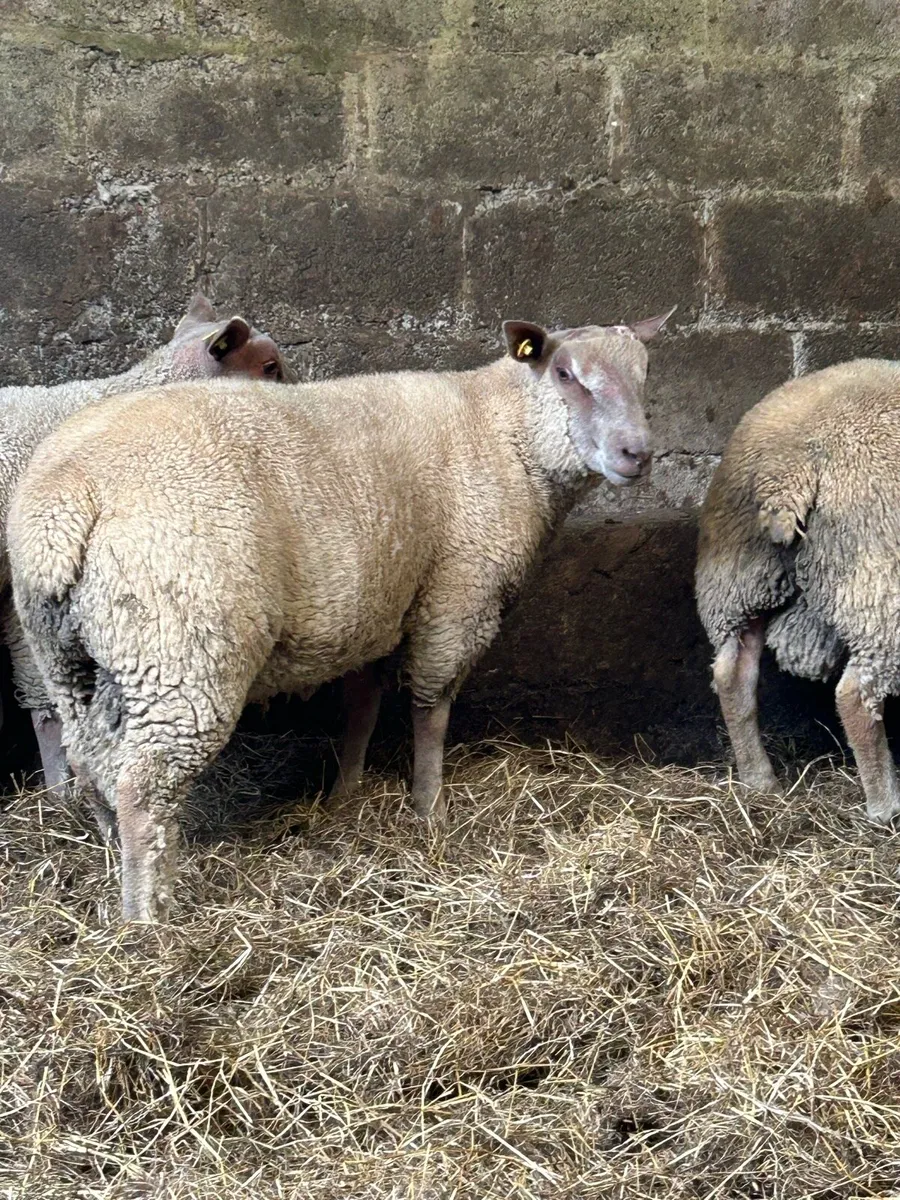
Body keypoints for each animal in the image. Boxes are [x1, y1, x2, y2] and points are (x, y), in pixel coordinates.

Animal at [696, 357, 900, 825]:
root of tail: (785, 469)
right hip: (879, 586)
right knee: (855, 697)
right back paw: (886, 806)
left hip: (741, 581)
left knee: (732, 675)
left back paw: (760, 780)